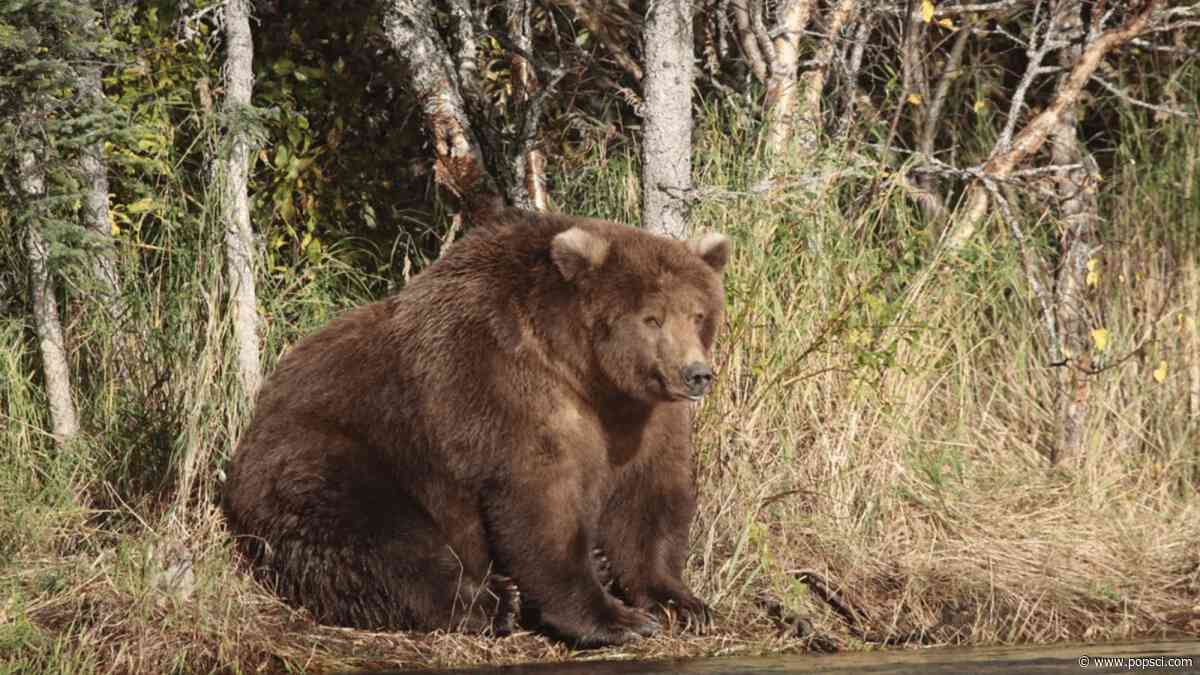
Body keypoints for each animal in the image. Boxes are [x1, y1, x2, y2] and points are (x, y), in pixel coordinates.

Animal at [221, 206, 732, 647]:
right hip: (331, 455)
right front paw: (616, 618)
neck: (585, 372)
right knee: (381, 540)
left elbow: (649, 498)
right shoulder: (504, 386)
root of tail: (253, 424)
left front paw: (681, 602)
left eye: (698, 314)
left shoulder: (642, 417)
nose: (696, 374)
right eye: (652, 318)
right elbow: (541, 503)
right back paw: (494, 602)